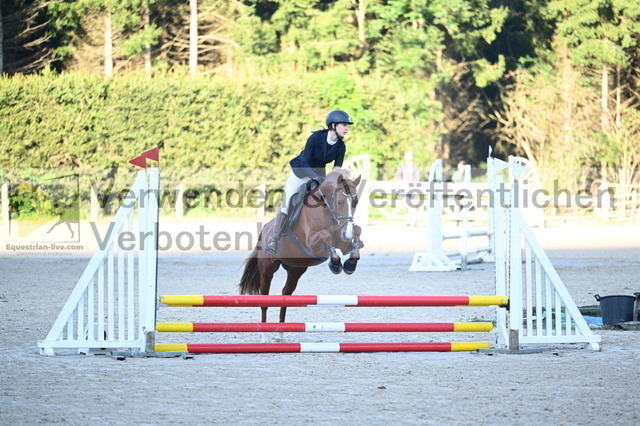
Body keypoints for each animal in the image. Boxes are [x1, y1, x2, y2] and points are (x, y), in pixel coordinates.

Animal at [238, 168, 364, 323]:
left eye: (355, 202)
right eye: (340, 202)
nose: (347, 234)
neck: (326, 209)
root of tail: (264, 230)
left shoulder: (343, 241)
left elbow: (357, 230)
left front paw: (350, 264)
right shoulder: (312, 244)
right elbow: (326, 235)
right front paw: (335, 263)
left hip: (295, 270)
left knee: (285, 295)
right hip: (267, 268)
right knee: (264, 300)